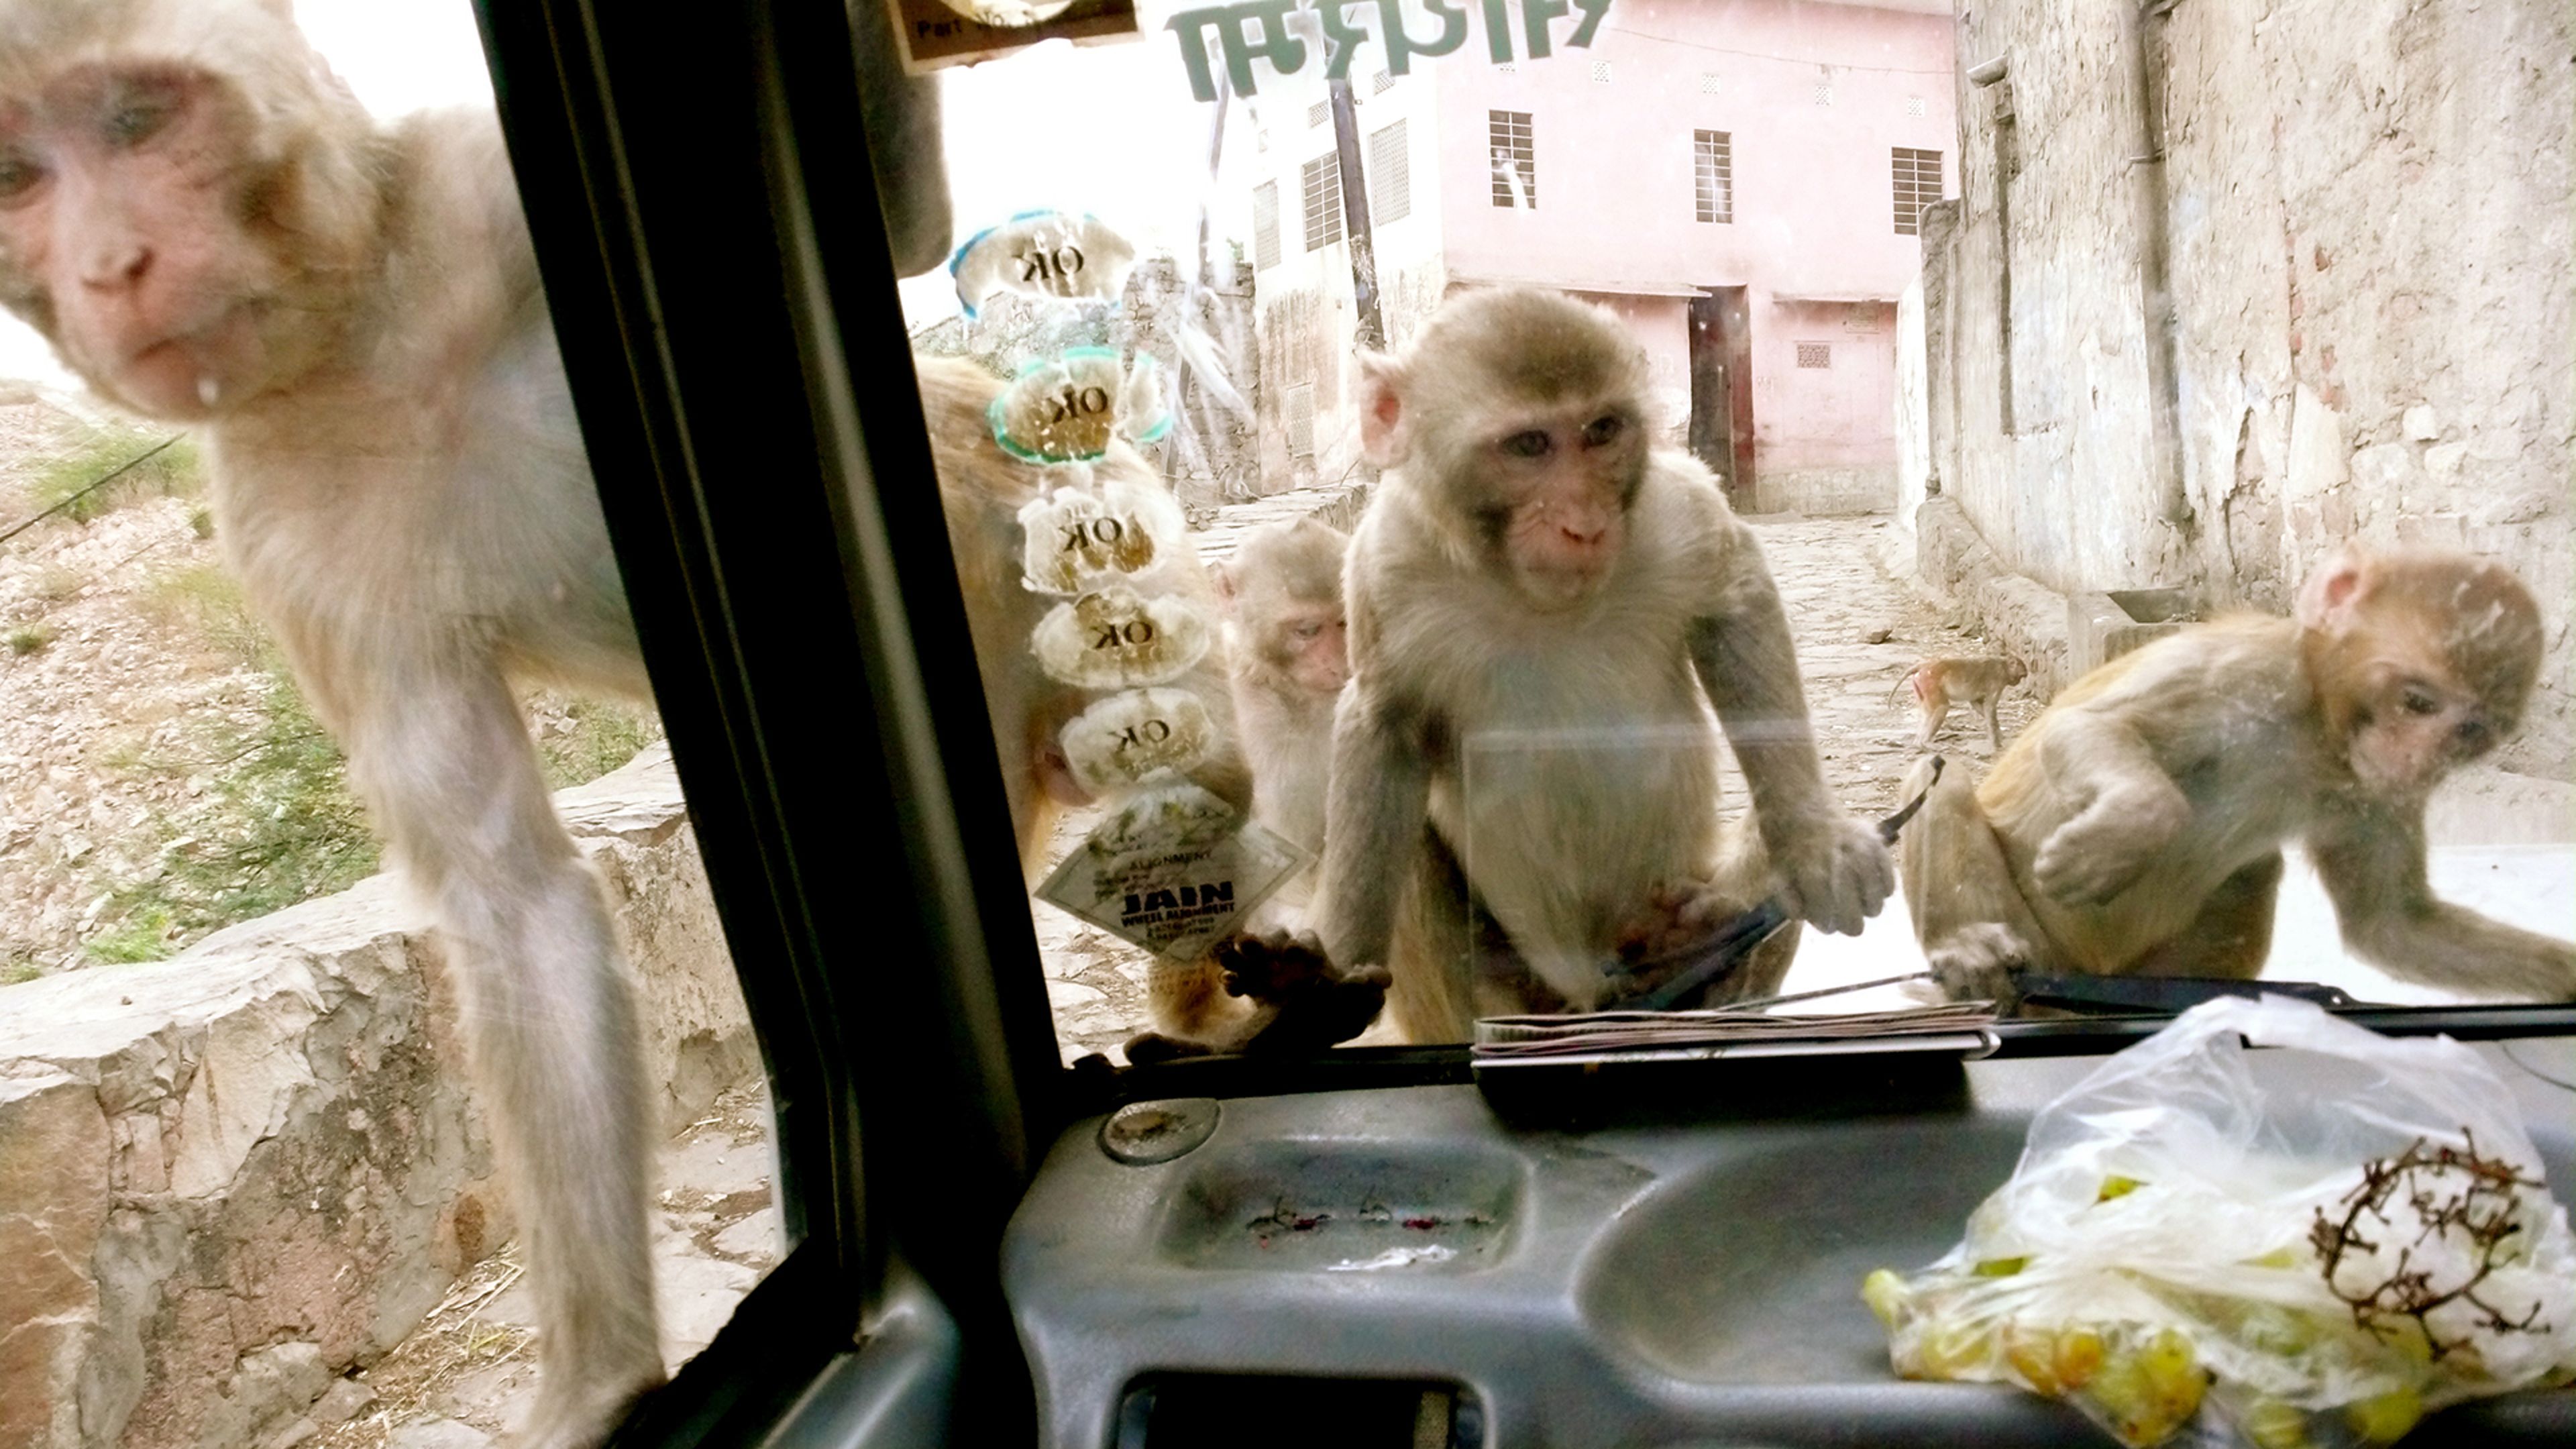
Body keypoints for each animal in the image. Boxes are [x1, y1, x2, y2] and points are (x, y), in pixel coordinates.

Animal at [1311, 288, 1895, 1043]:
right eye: (1529, 445)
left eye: (1602, 430)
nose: (1584, 523)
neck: (1524, 591)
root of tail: (1597, 992)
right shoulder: (1385, 563)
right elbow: (1384, 725)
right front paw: (1323, 991)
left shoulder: (1671, 506)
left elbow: (1737, 597)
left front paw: (1813, 841)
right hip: (1511, 985)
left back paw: (1702, 941)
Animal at [1890, 654, 2026, 751]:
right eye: (2022, 676)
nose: (2018, 682)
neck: (2003, 665)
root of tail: (1924, 666)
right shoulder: (1997, 682)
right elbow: (1989, 707)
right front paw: (1996, 744)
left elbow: (1977, 704)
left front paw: (1999, 734)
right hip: (1930, 683)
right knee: (1942, 708)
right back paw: (1926, 743)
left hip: (1921, 685)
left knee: (1927, 714)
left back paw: (1919, 745)